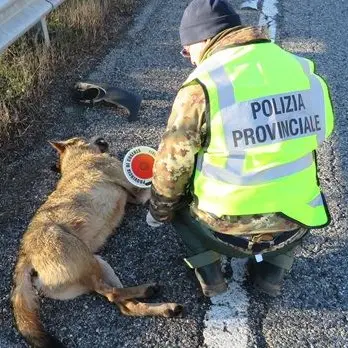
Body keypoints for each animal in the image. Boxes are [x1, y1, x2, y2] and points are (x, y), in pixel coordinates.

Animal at [10, 137, 182, 348]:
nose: (102, 140)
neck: (79, 159)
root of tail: (25, 255)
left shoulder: (135, 197)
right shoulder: (138, 191)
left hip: (100, 264)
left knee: (124, 306)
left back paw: (164, 307)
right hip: (86, 260)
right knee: (110, 293)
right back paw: (147, 290)